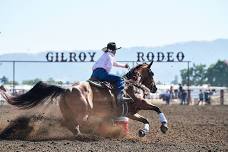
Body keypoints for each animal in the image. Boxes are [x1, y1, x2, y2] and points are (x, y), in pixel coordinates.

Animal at [0, 61, 167, 137]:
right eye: (152, 73)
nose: (155, 88)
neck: (132, 84)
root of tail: (66, 89)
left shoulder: (130, 112)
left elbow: (145, 119)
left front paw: (143, 131)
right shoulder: (141, 103)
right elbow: (157, 108)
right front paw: (164, 126)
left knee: (68, 124)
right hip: (83, 113)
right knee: (68, 124)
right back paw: (82, 135)